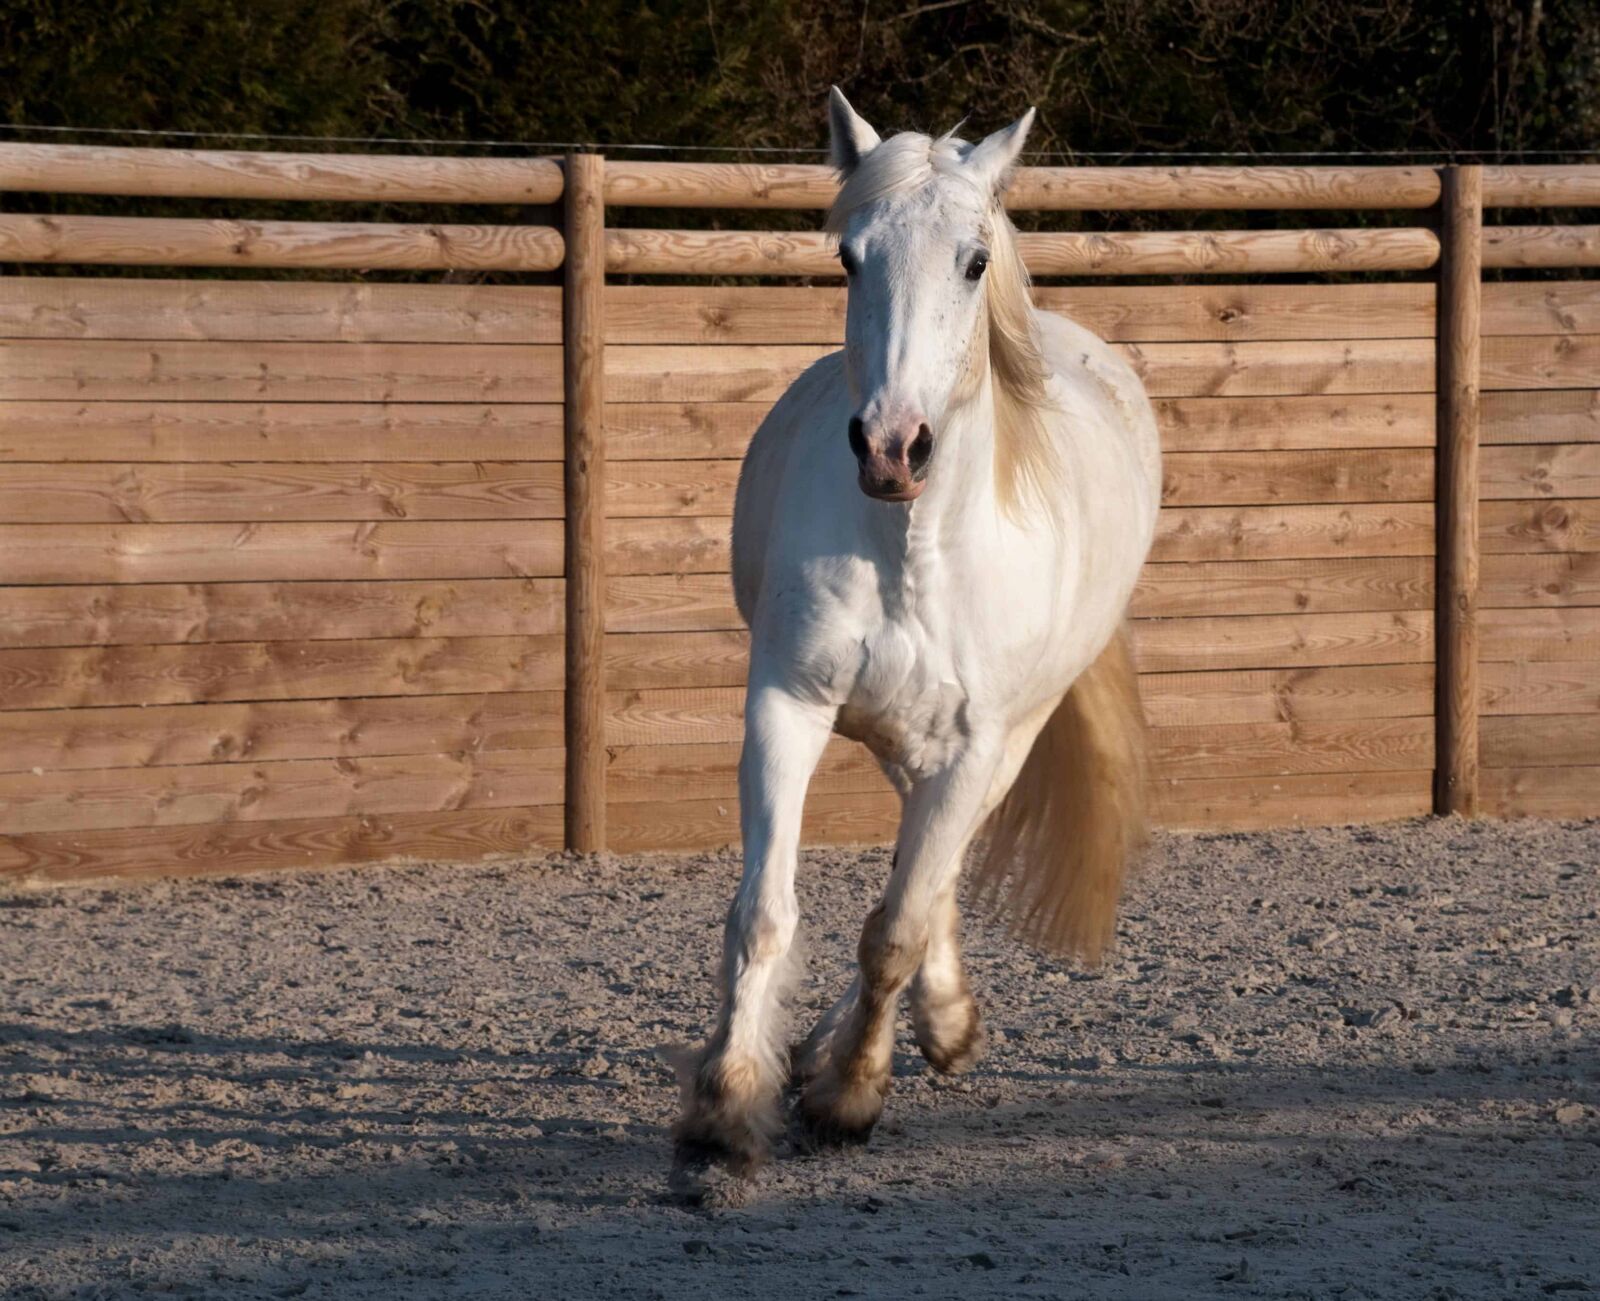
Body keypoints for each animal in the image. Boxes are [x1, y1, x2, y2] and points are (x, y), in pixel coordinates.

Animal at [671, 89, 1162, 1195]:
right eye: (850, 258)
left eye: (974, 261)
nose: (892, 447)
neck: (911, 549)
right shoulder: (786, 705)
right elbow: (763, 911)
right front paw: (727, 1103)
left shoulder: (978, 745)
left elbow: (891, 927)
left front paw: (848, 1094)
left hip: (1006, 739)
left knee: (934, 868)